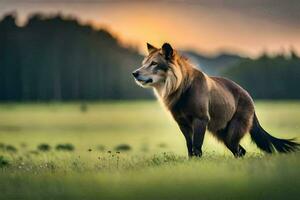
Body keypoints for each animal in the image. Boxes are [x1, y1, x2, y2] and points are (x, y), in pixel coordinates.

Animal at [132, 42, 298, 158]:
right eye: (143, 64)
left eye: (154, 63)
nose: (134, 73)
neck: (182, 88)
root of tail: (249, 98)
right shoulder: (183, 123)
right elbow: (189, 146)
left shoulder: (200, 119)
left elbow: (197, 146)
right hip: (222, 132)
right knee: (240, 151)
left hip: (232, 131)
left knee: (239, 150)